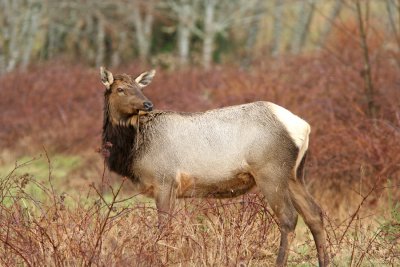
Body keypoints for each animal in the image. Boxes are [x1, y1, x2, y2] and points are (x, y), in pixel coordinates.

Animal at [99, 68, 328, 266]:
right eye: (120, 89)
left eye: (140, 87)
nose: (147, 104)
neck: (134, 150)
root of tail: (304, 126)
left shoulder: (164, 180)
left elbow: (164, 226)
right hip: (295, 175)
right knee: (315, 214)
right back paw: (325, 261)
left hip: (270, 172)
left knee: (289, 218)